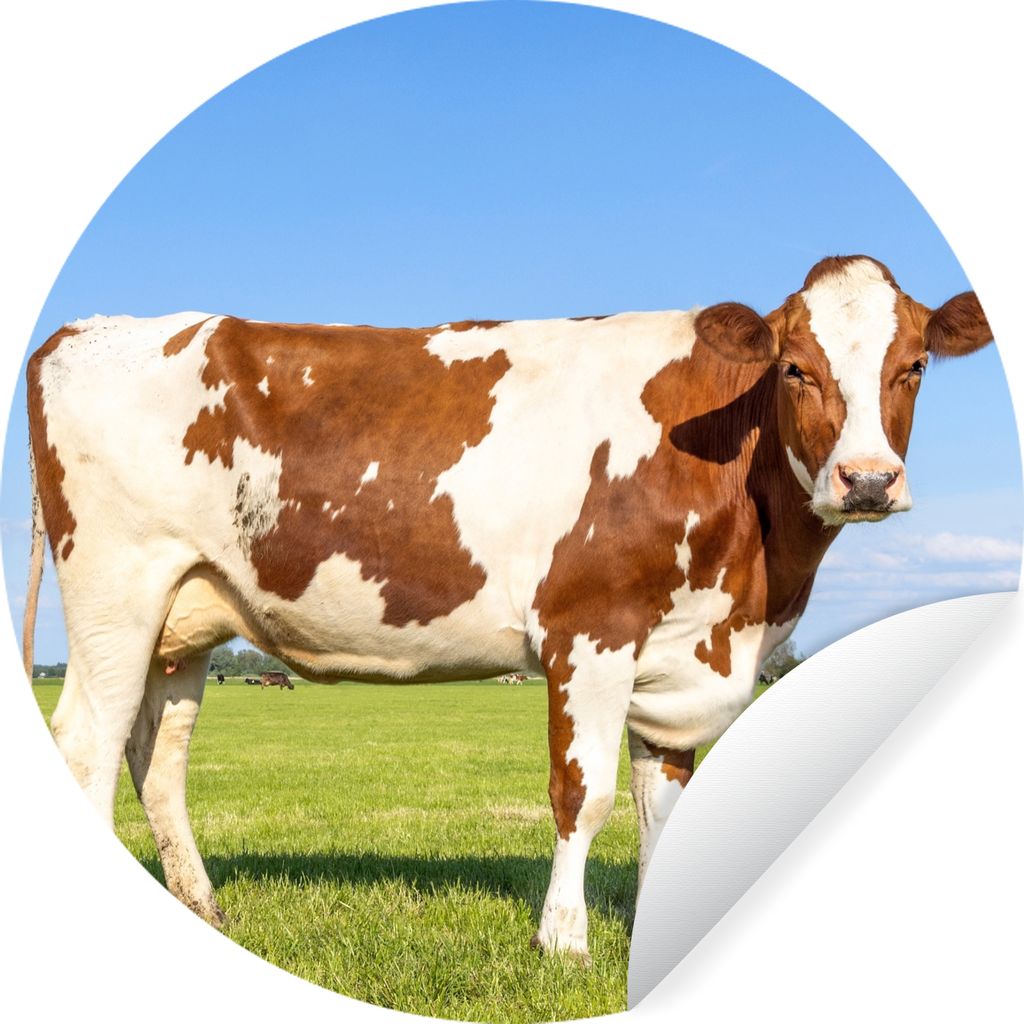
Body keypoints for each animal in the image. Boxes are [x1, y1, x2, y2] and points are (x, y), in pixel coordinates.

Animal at [21, 256, 992, 963]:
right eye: (796, 368)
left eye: (914, 366)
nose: (868, 480)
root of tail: (88, 328)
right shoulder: (590, 628)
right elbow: (583, 796)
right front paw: (563, 944)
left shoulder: (681, 651)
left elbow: (663, 806)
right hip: (115, 589)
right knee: (87, 746)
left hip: (183, 617)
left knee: (157, 755)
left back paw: (204, 910)